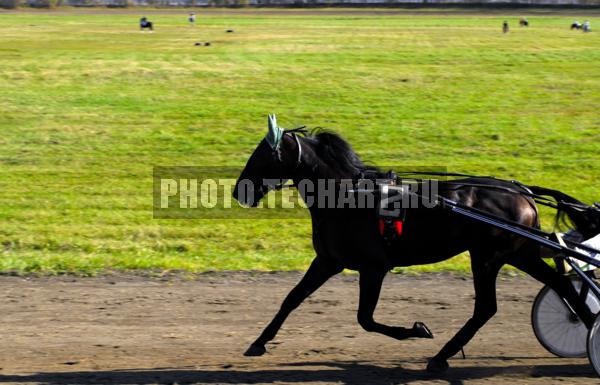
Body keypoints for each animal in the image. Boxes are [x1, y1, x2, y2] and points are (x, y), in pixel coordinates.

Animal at [232, 119, 592, 372]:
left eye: (263, 155)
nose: (239, 191)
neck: (346, 197)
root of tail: (522, 191)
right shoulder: (328, 261)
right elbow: (292, 298)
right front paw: (258, 342)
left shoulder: (373, 267)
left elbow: (365, 319)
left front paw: (418, 330)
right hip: (519, 253)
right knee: (561, 283)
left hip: (488, 257)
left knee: (486, 307)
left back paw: (440, 356)